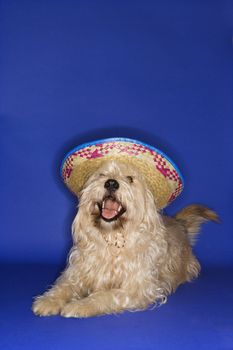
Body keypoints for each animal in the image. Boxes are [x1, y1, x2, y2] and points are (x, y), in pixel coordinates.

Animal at [31, 160, 218, 318]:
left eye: (130, 178)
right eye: (102, 174)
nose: (111, 183)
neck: (112, 239)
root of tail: (179, 223)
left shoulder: (137, 289)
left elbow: (105, 296)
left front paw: (80, 305)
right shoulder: (77, 273)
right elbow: (63, 286)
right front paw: (48, 301)